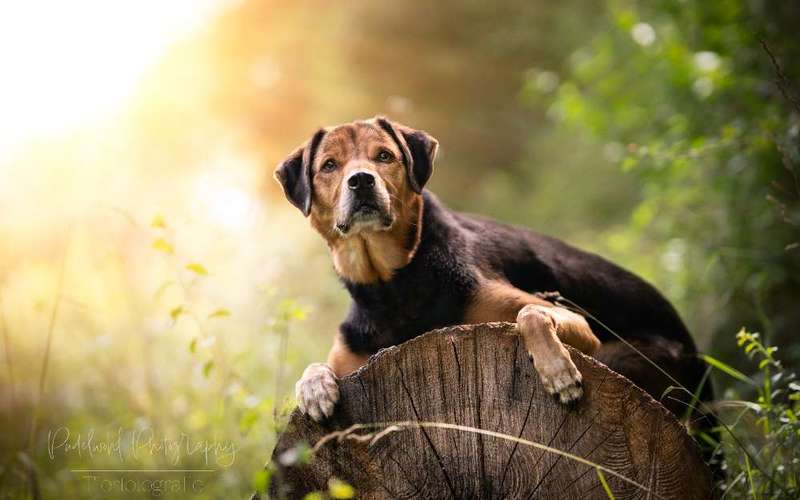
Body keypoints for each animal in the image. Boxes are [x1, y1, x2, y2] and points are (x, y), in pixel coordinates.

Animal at [274, 117, 712, 430]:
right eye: (329, 165)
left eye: (384, 157)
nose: (361, 180)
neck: (392, 284)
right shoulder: (353, 358)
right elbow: (314, 367)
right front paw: (314, 390)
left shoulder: (578, 326)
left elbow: (530, 313)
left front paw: (557, 372)